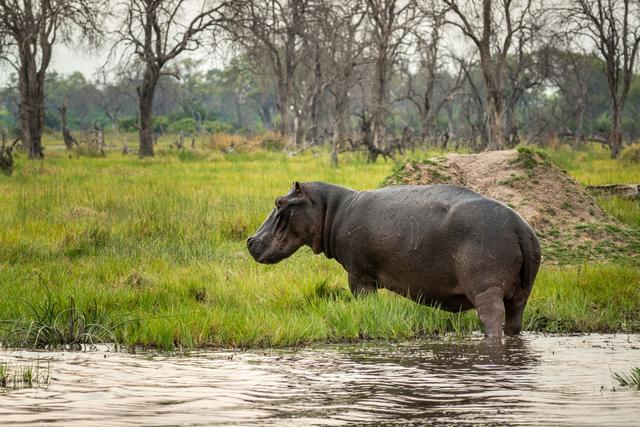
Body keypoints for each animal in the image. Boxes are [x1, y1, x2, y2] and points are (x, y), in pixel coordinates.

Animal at [248, 182, 544, 340]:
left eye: (279, 202)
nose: (250, 240)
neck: (333, 210)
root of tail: (521, 228)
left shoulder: (359, 276)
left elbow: (363, 300)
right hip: (522, 293)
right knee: (514, 320)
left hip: (486, 289)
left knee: (491, 317)